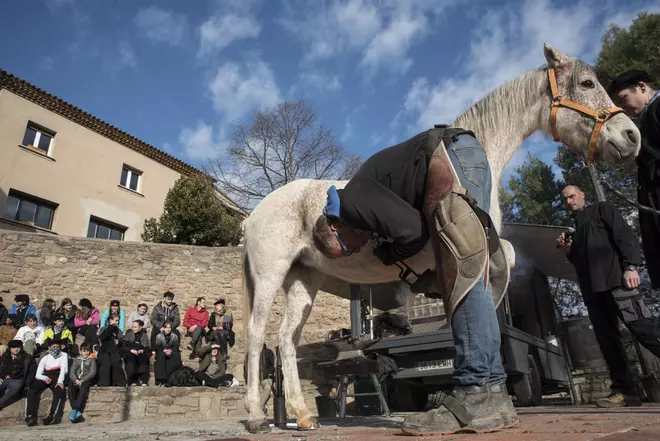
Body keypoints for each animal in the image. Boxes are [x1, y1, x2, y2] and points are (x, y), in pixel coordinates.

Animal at [242, 43, 640, 430]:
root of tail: (253, 216)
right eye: (587, 83)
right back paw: (258, 416)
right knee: (257, 333)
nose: (631, 136)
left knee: (286, 339)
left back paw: (303, 415)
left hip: (303, 281)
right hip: (270, 276)